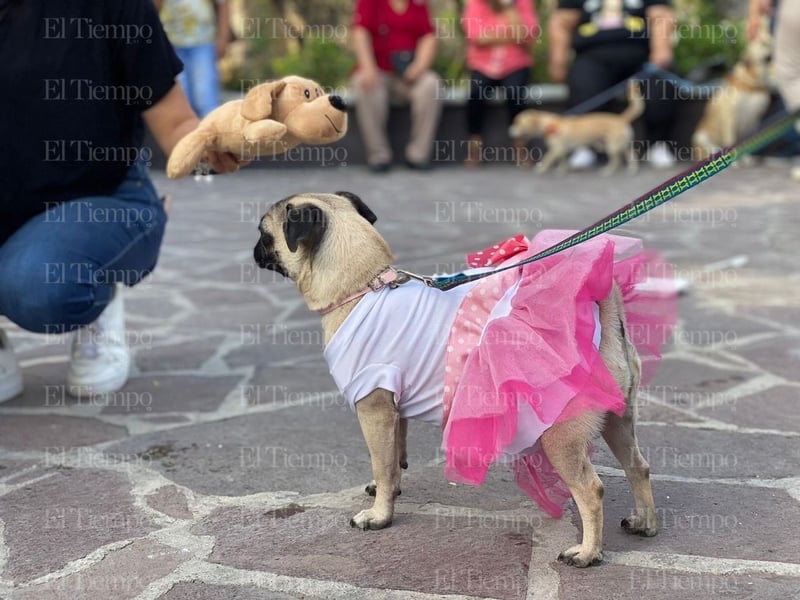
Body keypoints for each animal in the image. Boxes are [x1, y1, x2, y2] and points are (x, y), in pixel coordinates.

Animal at [512, 80, 644, 173]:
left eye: (518, 123)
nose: (510, 131)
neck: (548, 124)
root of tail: (621, 118)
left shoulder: (557, 148)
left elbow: (547, 158)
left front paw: (541, 168)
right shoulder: (561, 149)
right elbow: (562, 161)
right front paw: (561, 170)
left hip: (612, 146)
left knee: (617, 160)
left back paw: (608, 170)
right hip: (620, 144)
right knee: (631, 154)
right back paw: (632, 169)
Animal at [692, 17, 776, 162]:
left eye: (771, 42)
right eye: (763, 43)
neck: (752, 85)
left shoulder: (754, 121)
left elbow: (747, 142)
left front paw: (747, 159)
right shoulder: (730, 118)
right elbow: (731, 142)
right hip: (702, 136)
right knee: (713, 150)